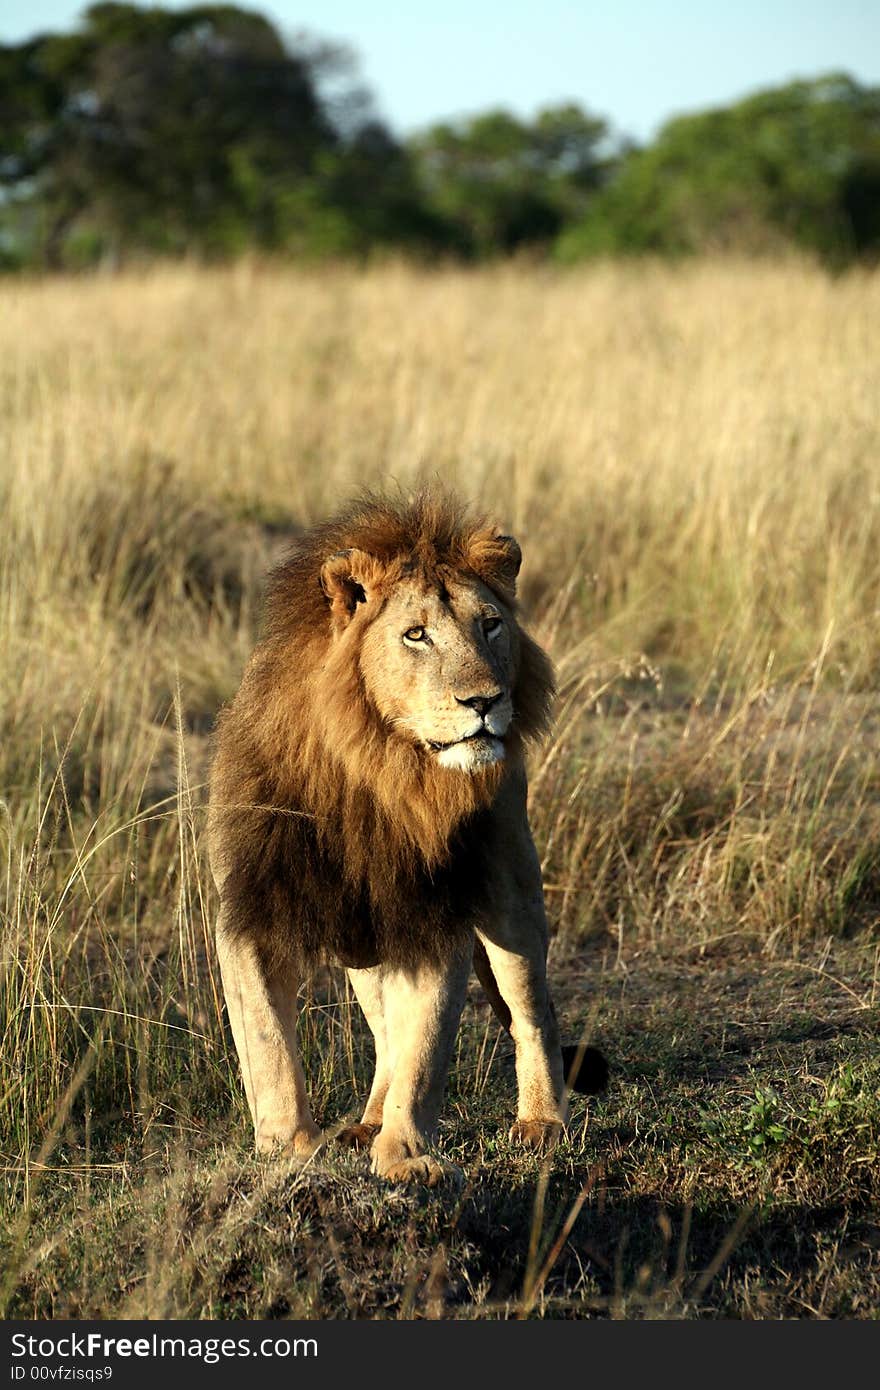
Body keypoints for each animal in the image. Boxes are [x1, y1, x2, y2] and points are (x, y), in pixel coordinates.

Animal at [207, 489, 603, 1184]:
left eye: (490, 625)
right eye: (416, 634)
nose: (485, 701)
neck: (373, 771)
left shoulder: (436, 914)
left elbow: (425, 1052)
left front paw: (405, 1159)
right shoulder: (253, 907)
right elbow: (269, 1045)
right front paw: (289, 1152)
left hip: (510, 895)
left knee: (533, 1013)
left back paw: (541, 1123)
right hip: (363, 936)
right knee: (384, 1028)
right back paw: (364, 1122)